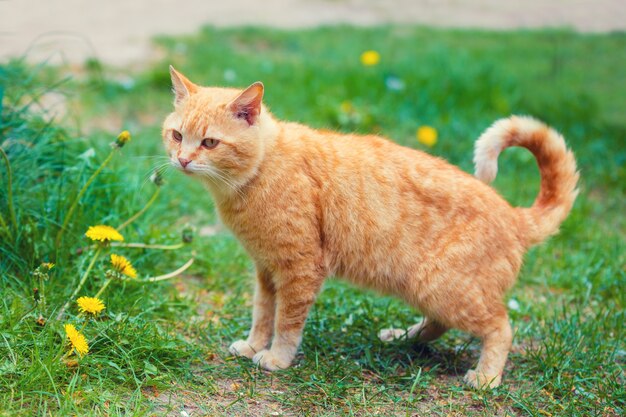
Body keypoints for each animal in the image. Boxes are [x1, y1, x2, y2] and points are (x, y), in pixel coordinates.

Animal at [163, 65, 576, 386]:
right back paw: (402, 338)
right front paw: (252, 345)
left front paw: (276, 358)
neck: (261, 170)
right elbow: (263, 315)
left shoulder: (300, 268)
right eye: (177, 135)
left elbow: (287, 323)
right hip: (426, 290)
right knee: (439, 324)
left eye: (210, 143)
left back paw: (487, 377)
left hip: (442, 287)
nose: (182, 160)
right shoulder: (266, 270)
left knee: (501, 327)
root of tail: (512, 213)